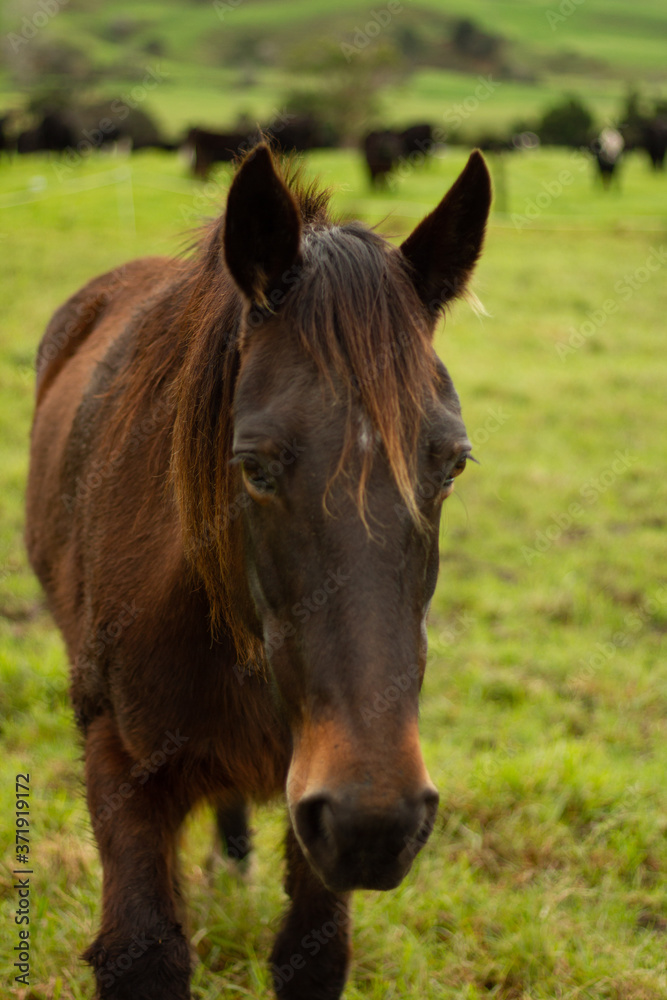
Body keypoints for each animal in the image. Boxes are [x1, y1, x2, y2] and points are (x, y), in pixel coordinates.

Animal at [26, 143, 494, 1000]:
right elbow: (143, 952)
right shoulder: (118, 759)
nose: (374, 821)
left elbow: (312, 954)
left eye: (451, 464)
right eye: (254, 467)